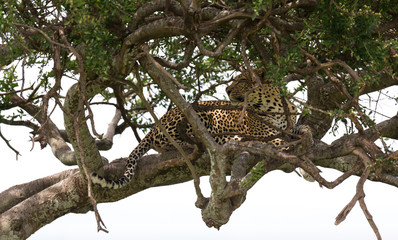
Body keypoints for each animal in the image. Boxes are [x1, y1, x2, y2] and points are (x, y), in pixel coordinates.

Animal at [92, 69, 298, 189]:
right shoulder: (262, 133)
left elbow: (292, 131)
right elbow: (279, 139)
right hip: (197, 114)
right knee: (173, 141)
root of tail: (155, 125)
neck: (275, 107)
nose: (227, 90)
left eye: (241, 81)